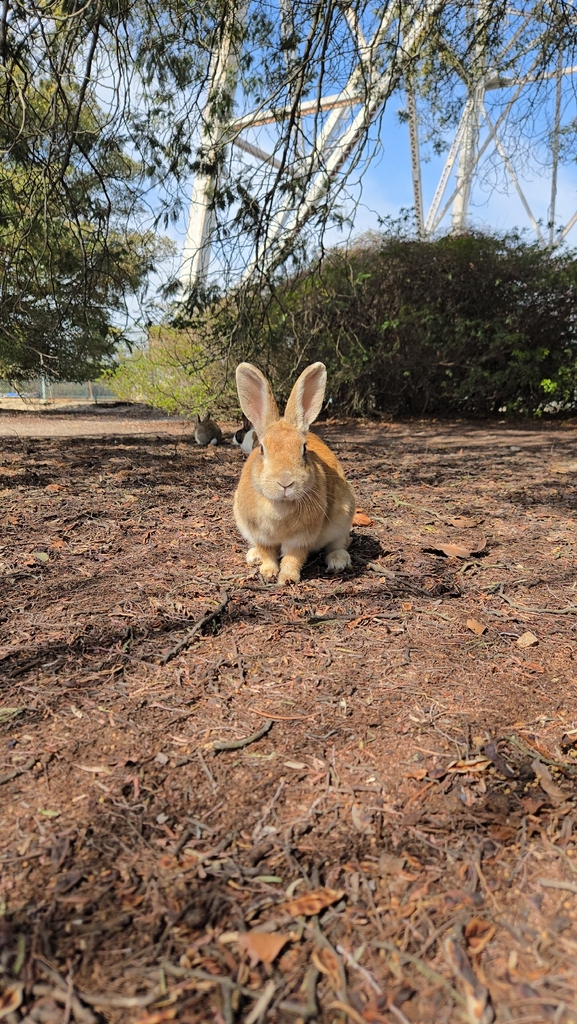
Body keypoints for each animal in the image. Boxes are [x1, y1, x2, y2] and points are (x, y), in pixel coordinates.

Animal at [233, 361, 355, 585]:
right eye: (262, 449)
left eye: (304, 449)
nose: (285, 482)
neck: (280, 505)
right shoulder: (259, 534)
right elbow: (267, 553)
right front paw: (268, 572)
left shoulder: (301, 538)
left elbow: (293, 557)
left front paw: (287, 578)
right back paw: (253, 556)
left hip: (344, 517)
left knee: (339, 543)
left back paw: (338, 561)